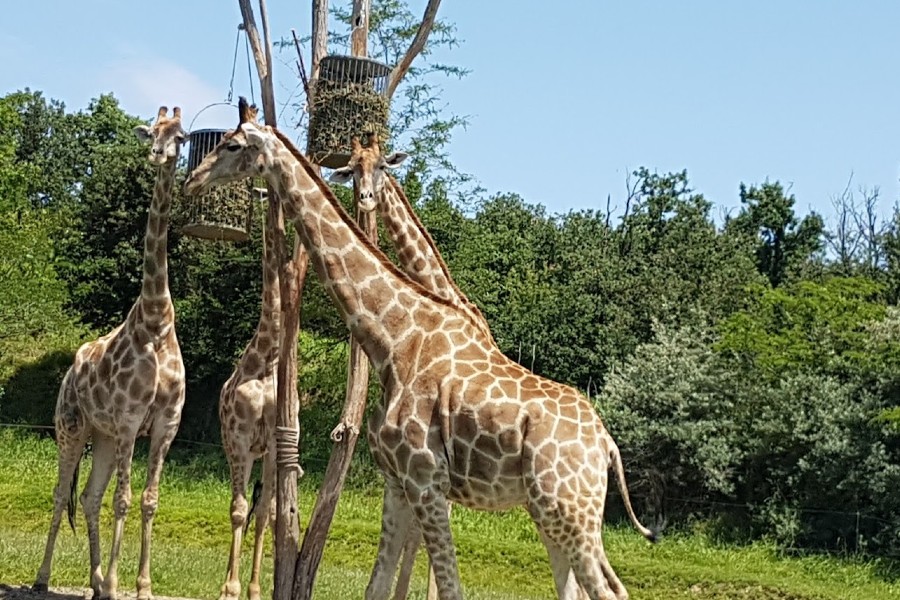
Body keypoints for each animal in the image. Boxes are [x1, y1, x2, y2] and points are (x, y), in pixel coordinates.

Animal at [35, 105, 188, 596]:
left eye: (181, 136)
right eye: (150, 131)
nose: (157, 153)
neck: (156, 321)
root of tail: (69, 370)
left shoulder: (165, 424)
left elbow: (149, 500)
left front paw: (142, 585)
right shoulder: (128, 421)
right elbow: (123, 499)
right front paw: (122, 584)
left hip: (100, 436)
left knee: (87, 496)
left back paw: (96, 580)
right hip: (72, 426)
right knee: (62, 493)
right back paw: (44, 578)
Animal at [183, 98, 656, 600]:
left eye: (232, 145)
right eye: (352, 170)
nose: (192, 180)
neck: (393, 340)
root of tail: (606, 445)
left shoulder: (426, 479)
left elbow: (447, 585)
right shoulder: (397, 481)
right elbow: (377, 586)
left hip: (568, 509)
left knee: (609, 590)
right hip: (551, 511)